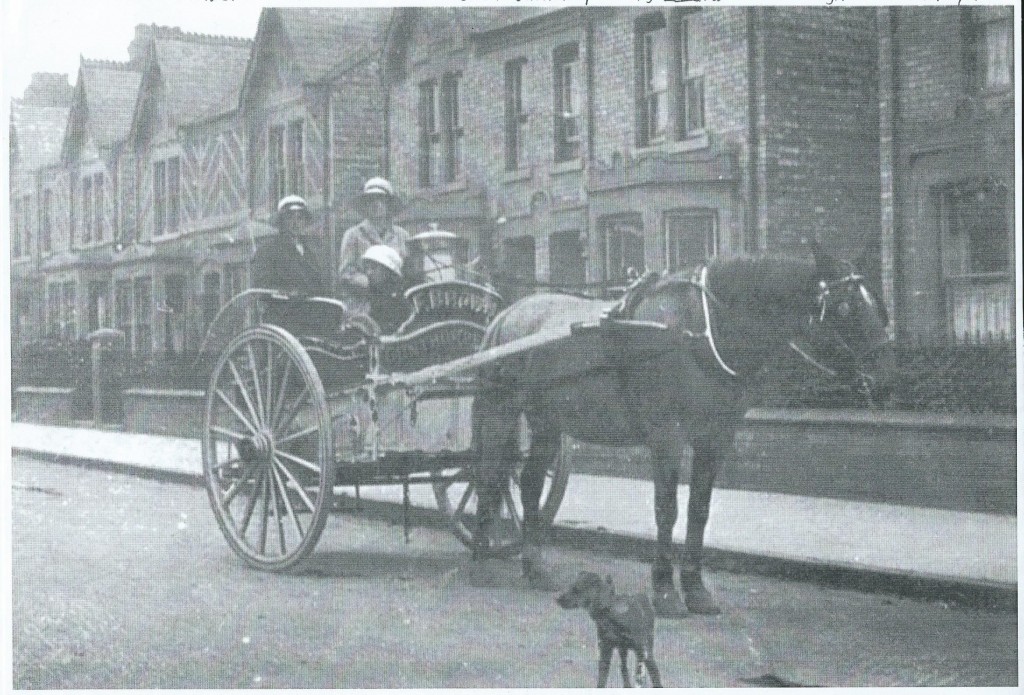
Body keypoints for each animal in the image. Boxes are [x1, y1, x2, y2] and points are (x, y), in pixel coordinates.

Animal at [471, 247, 897, 618]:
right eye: (844, 307)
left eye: (875, 302)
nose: (887, 376)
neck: (698, 330)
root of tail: (506, 314)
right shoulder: (667, 436)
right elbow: (667, 510)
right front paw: (664, 591)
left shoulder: (716, 437)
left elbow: (699, 510)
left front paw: (695, 589)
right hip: (501, 410)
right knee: (489, 476)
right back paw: (481, 559)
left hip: (547, 421)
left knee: (528, 483)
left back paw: (534, 565)